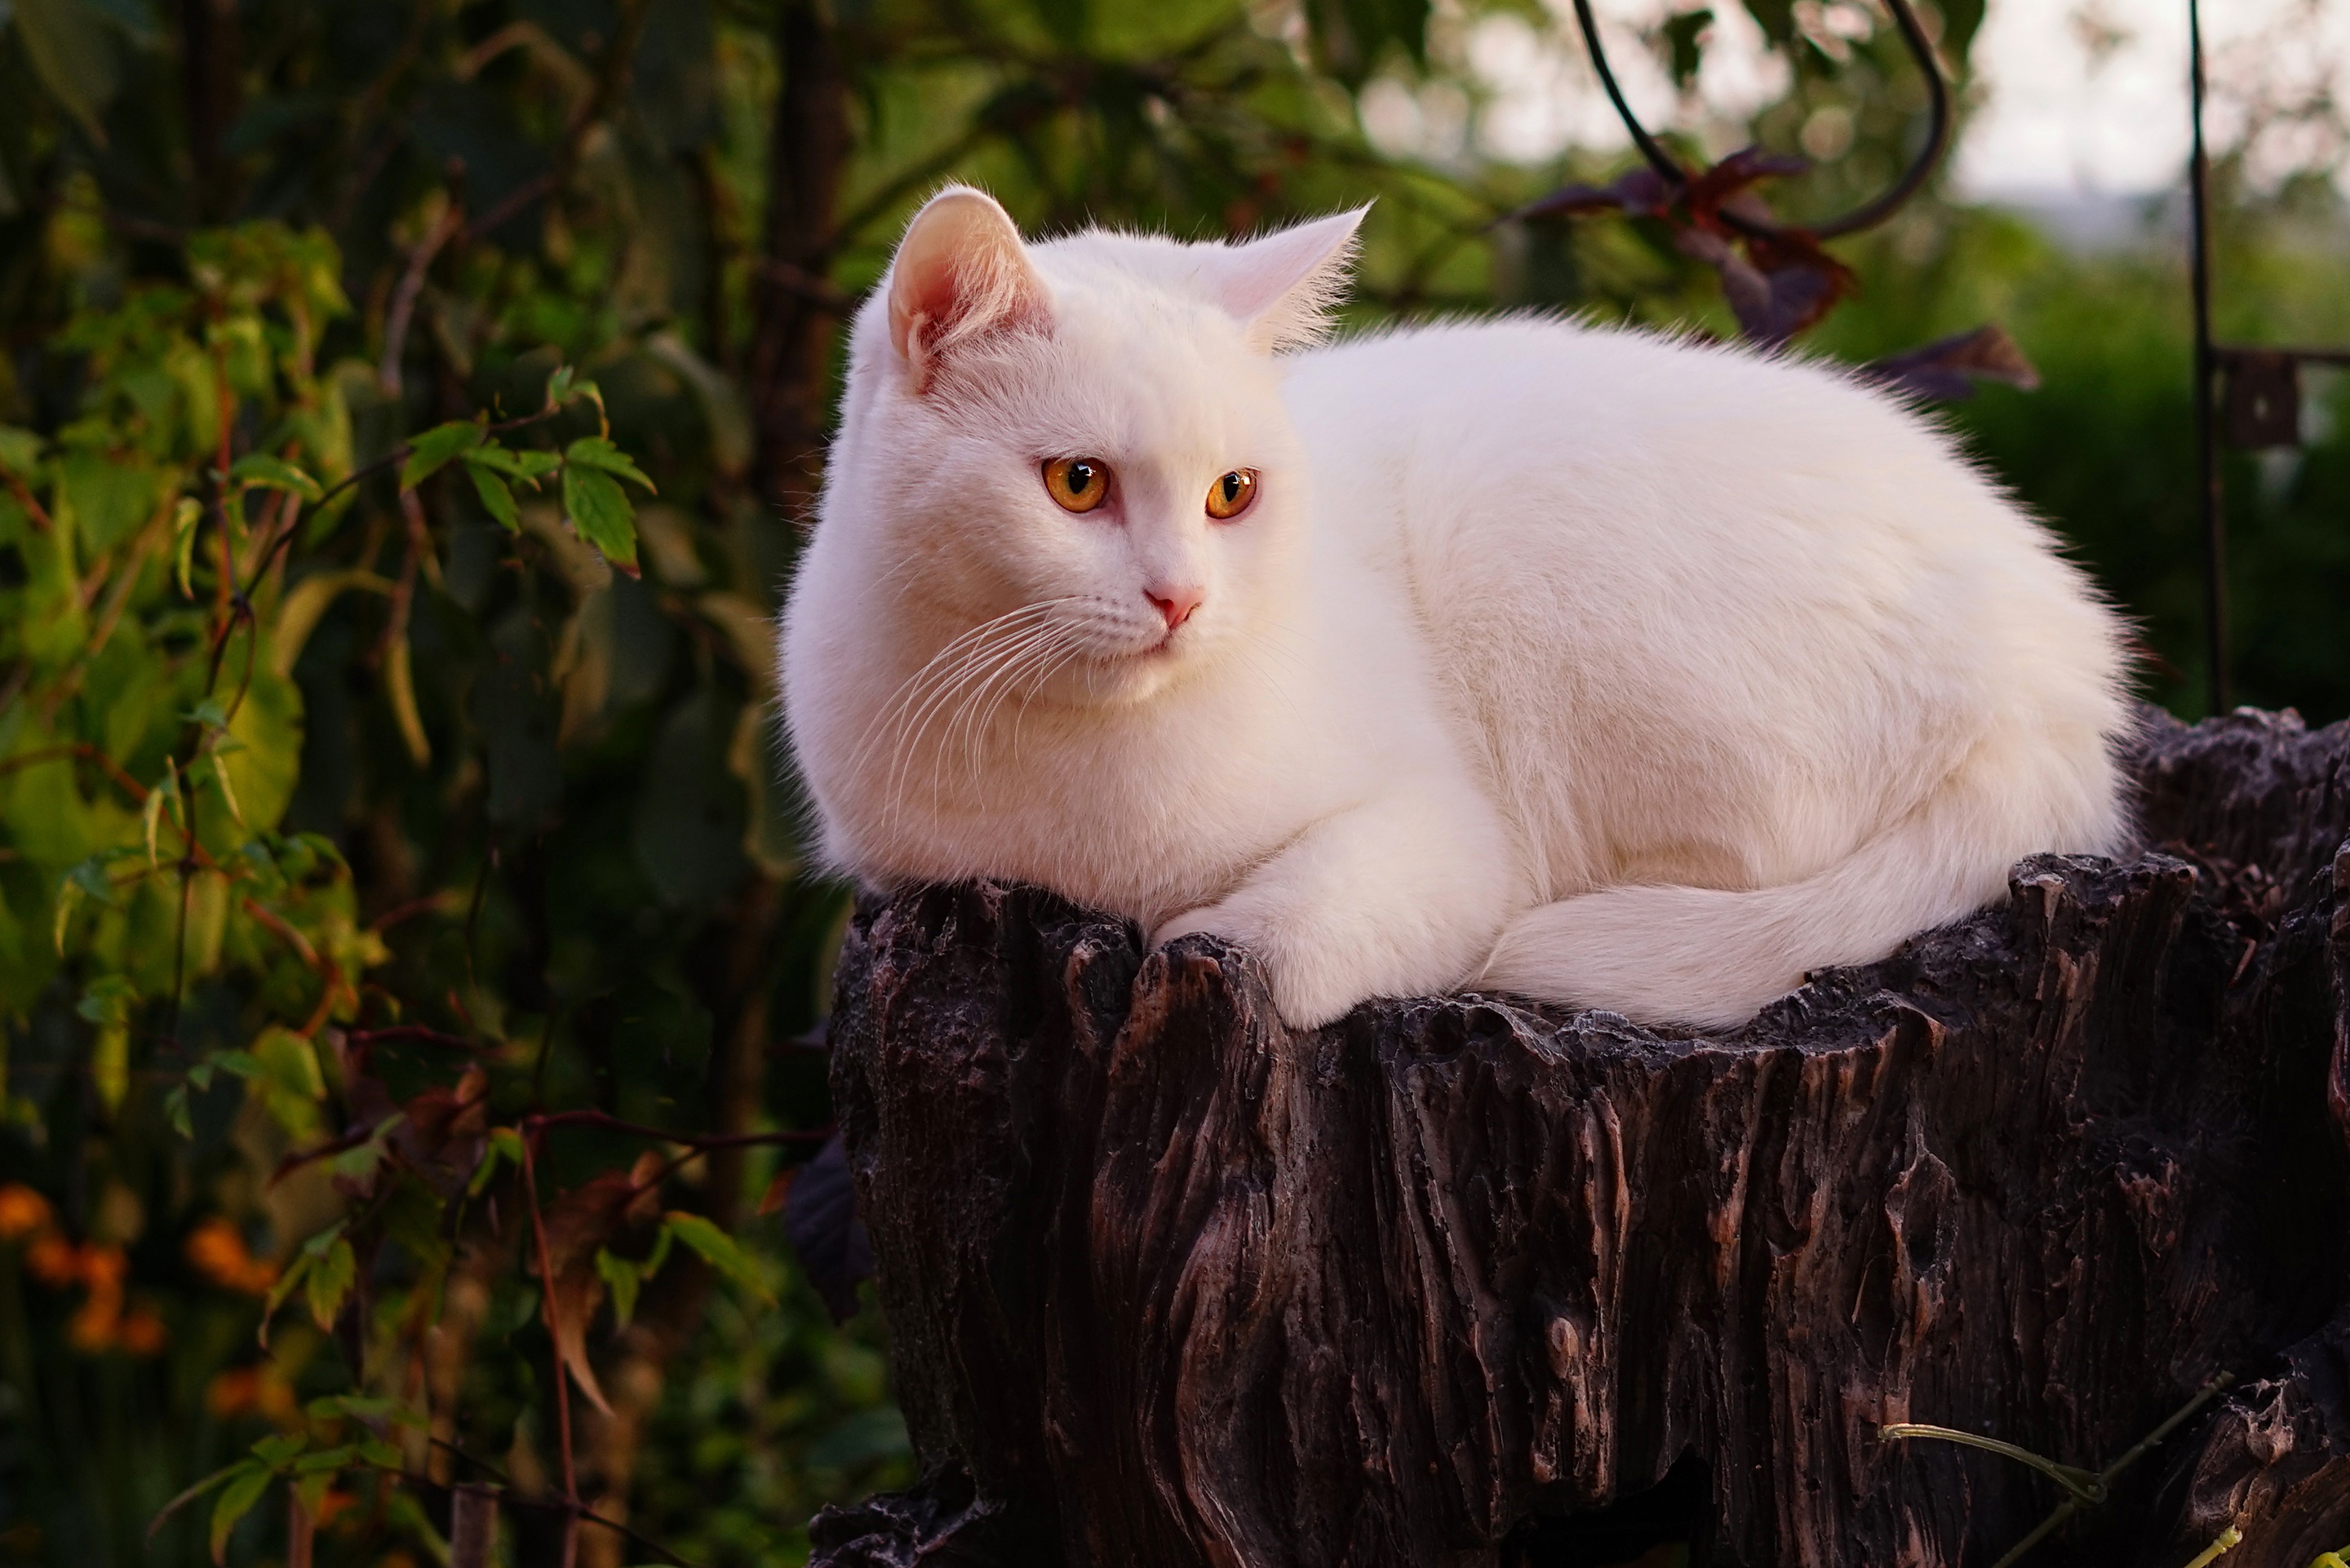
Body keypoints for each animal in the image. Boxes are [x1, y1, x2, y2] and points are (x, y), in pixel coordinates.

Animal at [775, 187, 2134, 1030]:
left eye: (1232, 493)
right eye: (1076, 483)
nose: (1181, 596)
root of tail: (2065, 680)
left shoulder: (1448, 840)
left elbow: (1270, 935)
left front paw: (1204, 934)